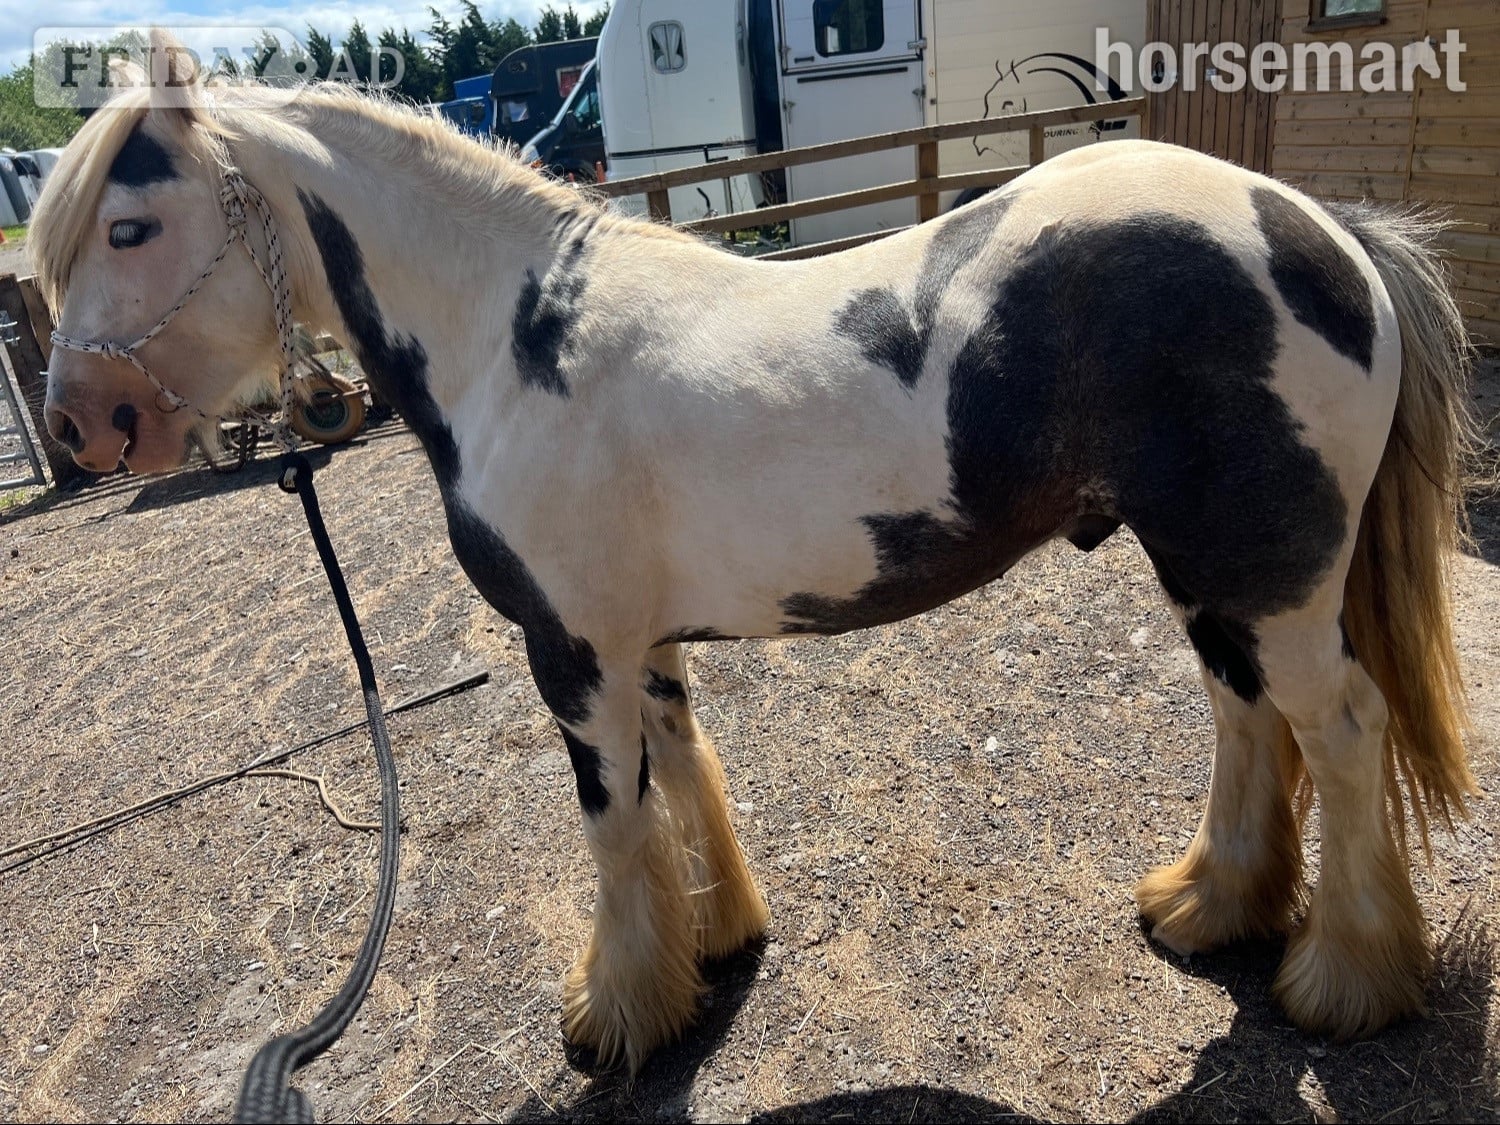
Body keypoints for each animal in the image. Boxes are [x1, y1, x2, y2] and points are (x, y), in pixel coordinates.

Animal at [33, 51, 1476, 1075]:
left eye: (129, 227)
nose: (79, 428)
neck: (509, 336)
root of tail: (1322, 228)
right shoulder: (638, 645)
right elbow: (683, 771)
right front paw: (715, 940)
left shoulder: (571, 654)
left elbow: (614, 823)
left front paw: (616, 1013)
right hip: (1215, 566)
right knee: (1249, 717)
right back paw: (1212, 906)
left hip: (1272, 574)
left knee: (1340, 728)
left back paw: (1345, 981)